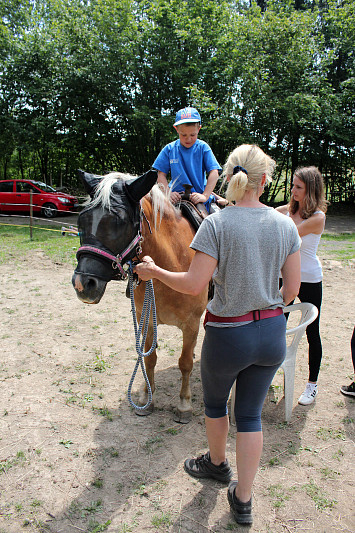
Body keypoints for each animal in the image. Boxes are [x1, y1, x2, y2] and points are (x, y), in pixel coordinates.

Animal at [72, 168, 209, 422]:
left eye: (120, 222)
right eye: (82, 221)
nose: (82, 284)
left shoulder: (192, 324)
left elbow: (185, 363)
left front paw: (184, 404)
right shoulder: (146, 319)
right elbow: (149, 358)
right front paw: (147, 397)